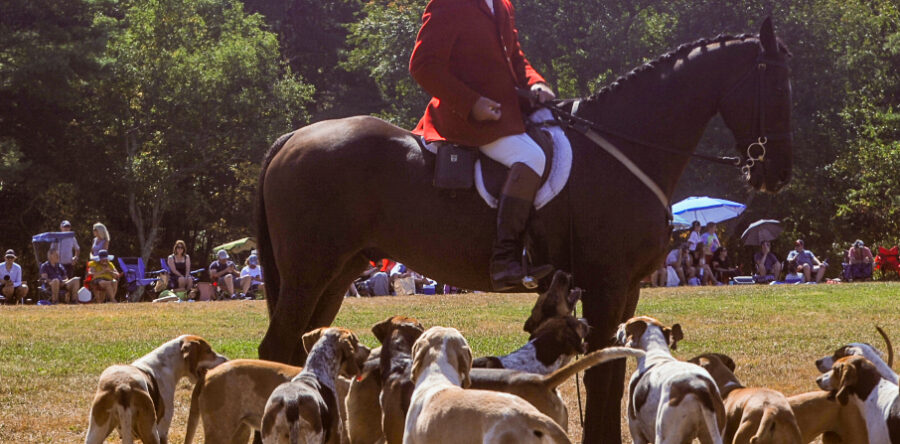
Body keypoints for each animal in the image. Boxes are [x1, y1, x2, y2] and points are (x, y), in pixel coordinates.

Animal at [256, 16, 792, 440]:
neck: (623, 151)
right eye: (774, 86)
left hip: (337, 274)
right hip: (308, 274)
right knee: (276, 347)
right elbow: (600, 375)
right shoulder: (606, 286)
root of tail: (291, 138)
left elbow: (615, 367)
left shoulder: (628, 290)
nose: (776, 173)